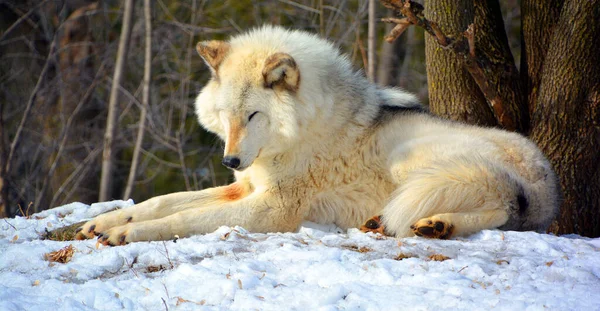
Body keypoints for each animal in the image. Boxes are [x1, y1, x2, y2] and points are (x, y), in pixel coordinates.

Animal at [76, 26, 564, 246]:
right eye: (226, 117)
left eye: (253, 115)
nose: (230, 161)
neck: (299, 132)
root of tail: (546, 183)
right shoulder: (243, 189)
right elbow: (163, 202)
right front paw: (106, 221)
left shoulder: (272, 209)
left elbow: (184, 219)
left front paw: (125, 234)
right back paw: (418, 224)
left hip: (417, 162)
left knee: (500, 210)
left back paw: (431, 224)